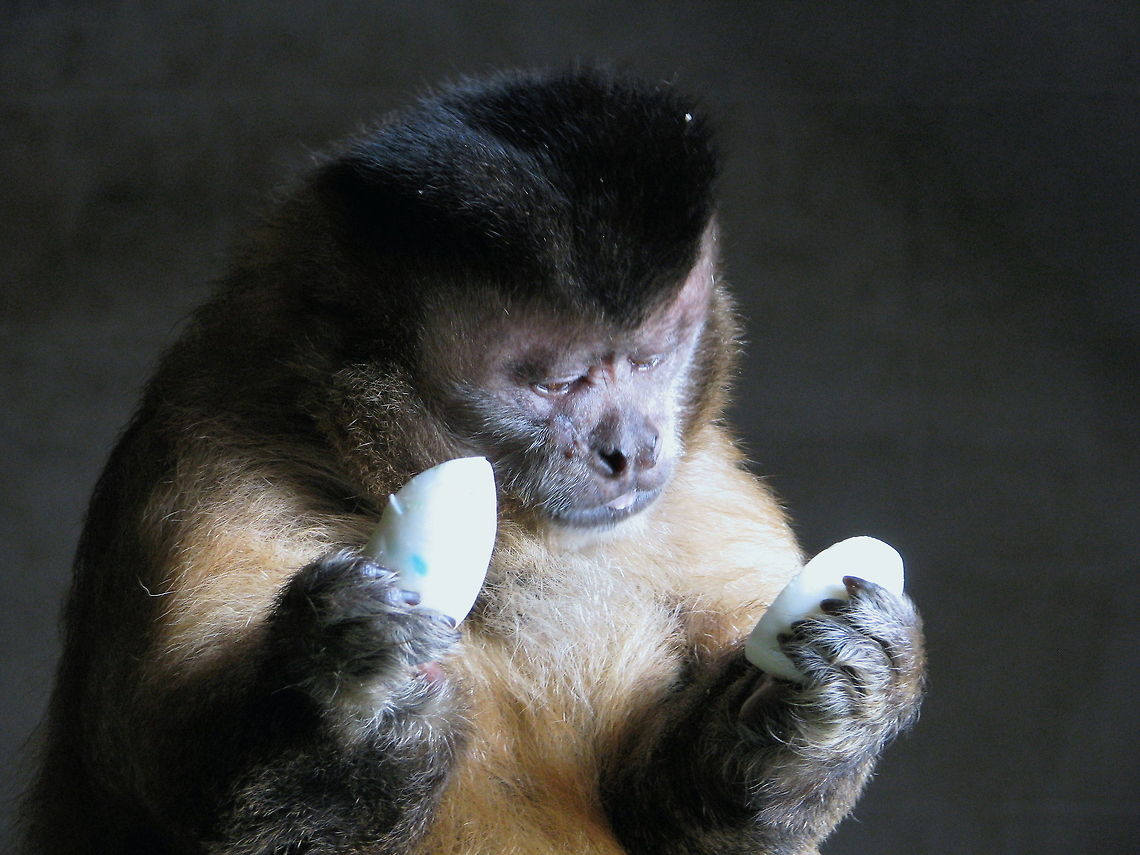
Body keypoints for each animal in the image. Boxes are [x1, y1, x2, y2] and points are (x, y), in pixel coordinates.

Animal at [21, 68, 925, 855]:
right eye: (555, 380)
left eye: (651, 358)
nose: (630, 450)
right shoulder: (209, 480)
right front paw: (341, 692)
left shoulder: (711, 493)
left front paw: (836, 698)